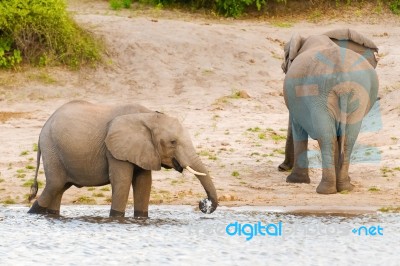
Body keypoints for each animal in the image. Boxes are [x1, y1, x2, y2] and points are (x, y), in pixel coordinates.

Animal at [27, 101, 219, 217]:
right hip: (51, 148)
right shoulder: (115, 150)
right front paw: (116, 218)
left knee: (59, 189)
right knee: (54, 185)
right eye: (173, 142)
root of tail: (43, 127)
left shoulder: (143, 150)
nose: (203, 204)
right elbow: (122, 182)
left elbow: (144, 184)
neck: (148, 115)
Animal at [278, 29, 378, 194]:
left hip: (320, 95)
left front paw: (295, 181)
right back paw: (344, 187)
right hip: (356, 95)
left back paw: (325, 190)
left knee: (327, 136)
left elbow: (298, 127)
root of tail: (342, 73)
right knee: (348, 137)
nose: (281, 167)